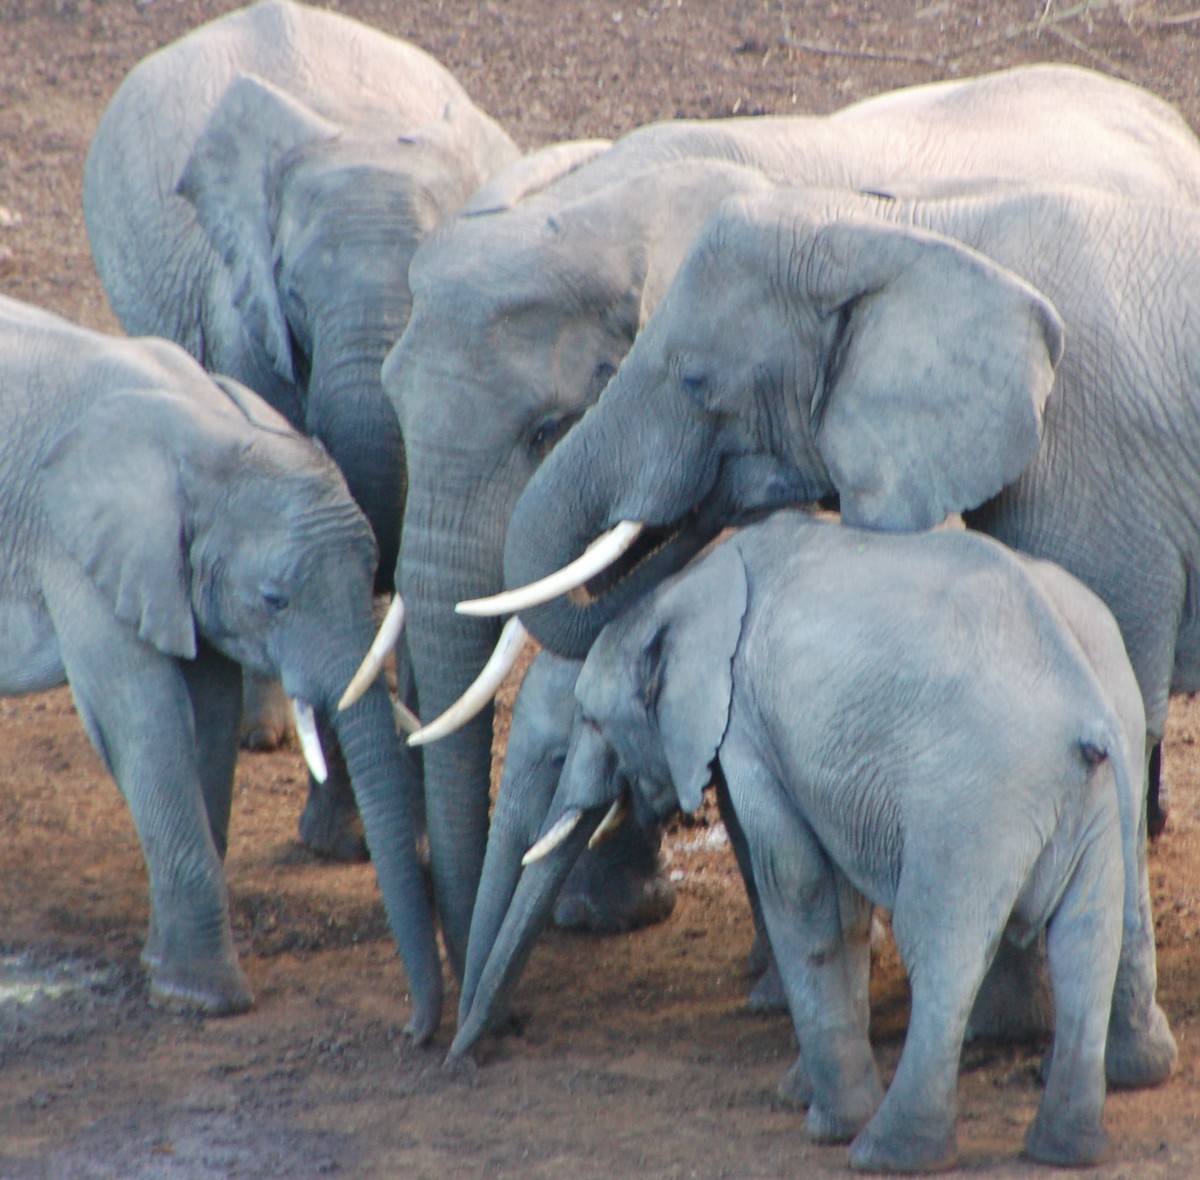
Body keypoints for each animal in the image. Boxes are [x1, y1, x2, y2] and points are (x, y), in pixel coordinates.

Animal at [0, 294, 440, 1042]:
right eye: (274, 600)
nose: (415, 1033)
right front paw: (202, 998)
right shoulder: (78, 550)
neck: (207, 432)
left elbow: (208, 714)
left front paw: (165, 968)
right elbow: (143, 718)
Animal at [452, 511, 1176, 1171]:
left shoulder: (747, 726)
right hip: (1094, 788)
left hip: (974, 799)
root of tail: (1083, 704)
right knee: (1087, 939)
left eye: (588, 723)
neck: (687, 586)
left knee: (943, 945)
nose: (466, 1058)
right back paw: (1066, 1150)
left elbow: (797, 880)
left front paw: (825, 1119)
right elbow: (834, 898)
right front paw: (804, 1094)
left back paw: (886, 1151)